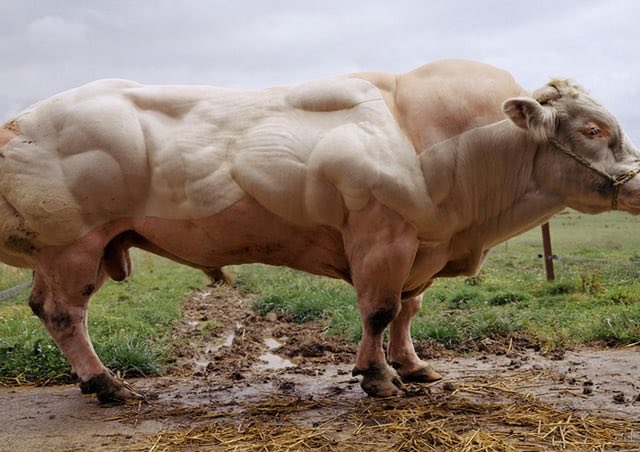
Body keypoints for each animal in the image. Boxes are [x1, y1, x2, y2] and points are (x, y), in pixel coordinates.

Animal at [2, 60, 638, 403]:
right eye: (591, 129)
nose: (636, 183)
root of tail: (22, 119)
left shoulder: (423, 248)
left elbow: (408, 311)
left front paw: (412, 366)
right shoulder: (382, 238)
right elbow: (378, 310)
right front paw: (377, 376)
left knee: (43, 307)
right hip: (72, 244)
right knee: (64, 314)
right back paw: (106, 383)